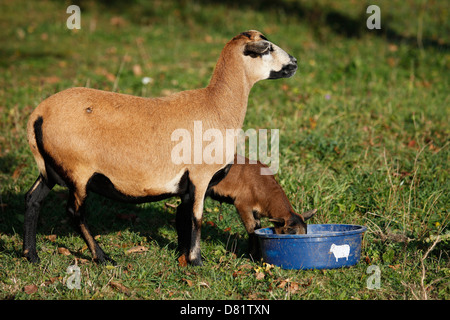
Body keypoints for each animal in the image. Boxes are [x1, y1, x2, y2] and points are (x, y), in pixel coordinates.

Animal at [22, 30, 298, 264]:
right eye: (267, 48)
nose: (295, 62)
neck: (217, 105)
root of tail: (38, 114)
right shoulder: (200, 176)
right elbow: (196, 218)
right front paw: (196, 261)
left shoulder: (186, 184)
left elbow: (183, 217)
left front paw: (183, 255)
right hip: (78, 171)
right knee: (74, 212)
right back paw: (102, 257)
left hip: (51, 170)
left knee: (33, 199)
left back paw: (30, 254)